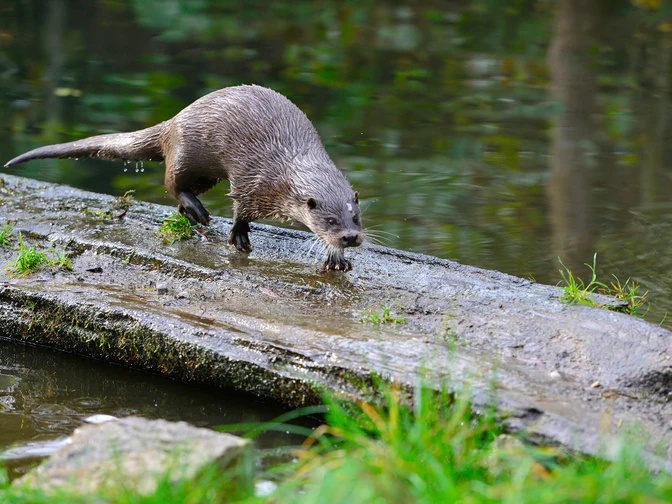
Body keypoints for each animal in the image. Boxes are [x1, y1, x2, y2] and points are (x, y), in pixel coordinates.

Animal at [4, 85, 363, 271]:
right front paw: (239, 237)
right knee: (172, 183)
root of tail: (172, 121)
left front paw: (337, 259)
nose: (351, 237)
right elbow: (240, 209)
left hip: (204, 172)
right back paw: (199, 213)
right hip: (187, 153)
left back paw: (190, 215)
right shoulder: (252, 179)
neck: (286, 170)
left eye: (355, 218)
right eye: (330, 220)